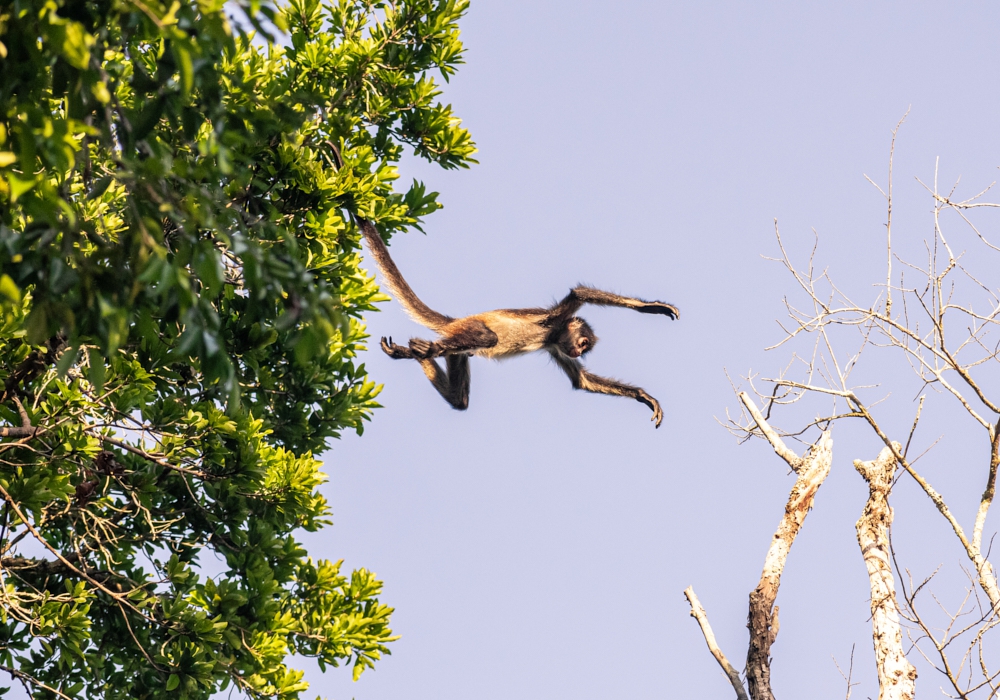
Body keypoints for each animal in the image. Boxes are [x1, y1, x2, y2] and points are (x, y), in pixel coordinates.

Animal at [360, 220, 680, 426]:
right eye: (583, 342)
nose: (578, 350)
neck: (551, 335)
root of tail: (457, 321)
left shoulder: (555, 346)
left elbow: (582, 381)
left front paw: (642, 396)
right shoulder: (553, 321)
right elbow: (580, 293)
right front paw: (651, 307)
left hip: (459, 349)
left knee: (460, 399)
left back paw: (419, 354)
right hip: (471, 328)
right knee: (486, 339)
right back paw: (422, 349)